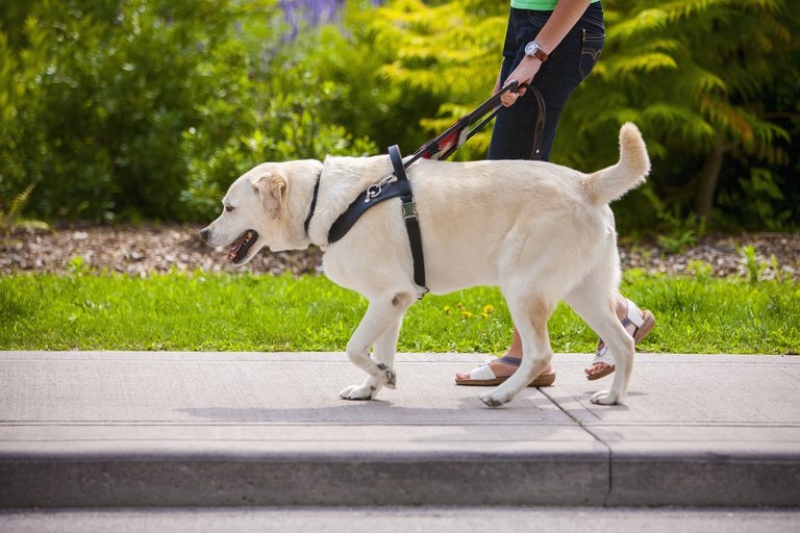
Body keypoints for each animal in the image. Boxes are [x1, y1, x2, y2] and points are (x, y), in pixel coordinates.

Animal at [202, 123, 648, 408]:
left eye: (228, 207)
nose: (204, 234)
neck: (320, 198)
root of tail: (585, 184)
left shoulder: (388, 295)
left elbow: (353, 347)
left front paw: (381, 377)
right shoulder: (393, 301)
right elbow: (378, 349)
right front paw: (373, 385)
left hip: (523, 288)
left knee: (539, 353)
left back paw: (500, 395)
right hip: (585, 291)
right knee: (623, 343)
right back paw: (613, 397)